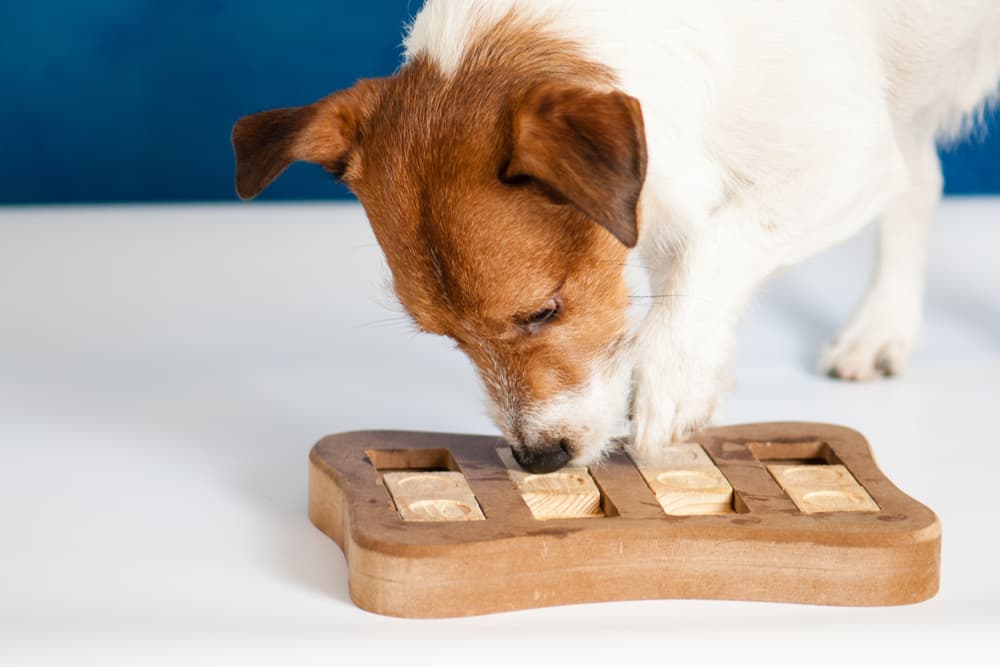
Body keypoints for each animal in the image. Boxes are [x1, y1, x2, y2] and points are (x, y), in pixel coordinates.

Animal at [232, 2, 1000, 478]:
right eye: (446, 337)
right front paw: (700, 371)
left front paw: (674, 377)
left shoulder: (848, 160)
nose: (538, 459)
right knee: (923, 182)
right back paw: (882, 329)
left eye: (543, 310)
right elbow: (681, 272)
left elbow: (719, 246)